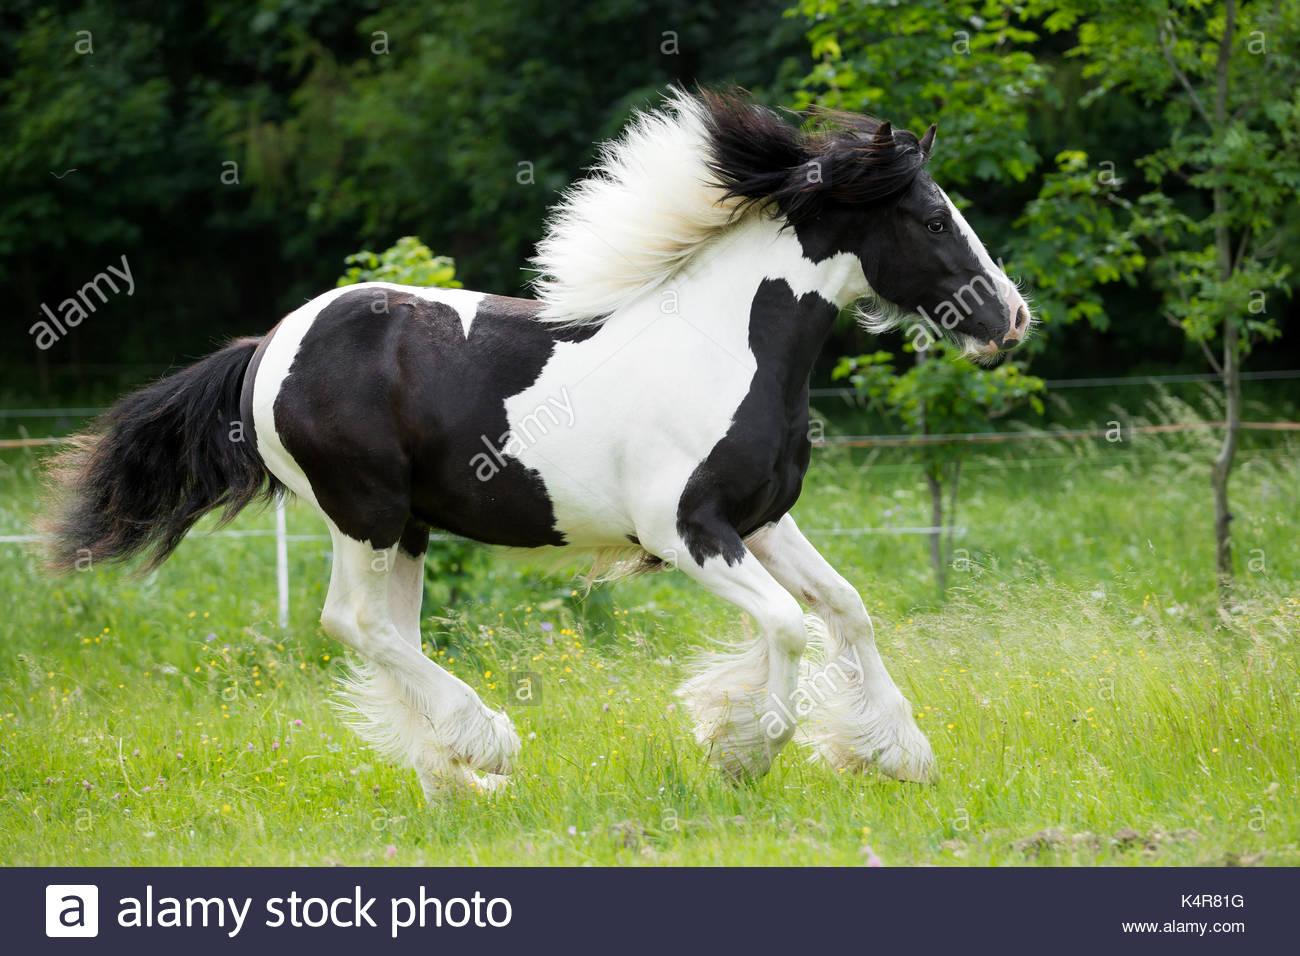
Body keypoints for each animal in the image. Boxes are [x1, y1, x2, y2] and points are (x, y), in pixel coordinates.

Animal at [45, 91, 1029, 801]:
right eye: (934, 221)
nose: (1010, 318)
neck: (726, 344)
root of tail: (269, 346)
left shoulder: (763, 521)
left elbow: (847, 608)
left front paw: (897, 752)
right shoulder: (688, 532)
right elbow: (787, 624)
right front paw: (742, 751)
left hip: (409, 527)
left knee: (386, 630)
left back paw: (457, 781)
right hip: (366, 512)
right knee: (352, 623)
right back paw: (488, 745)